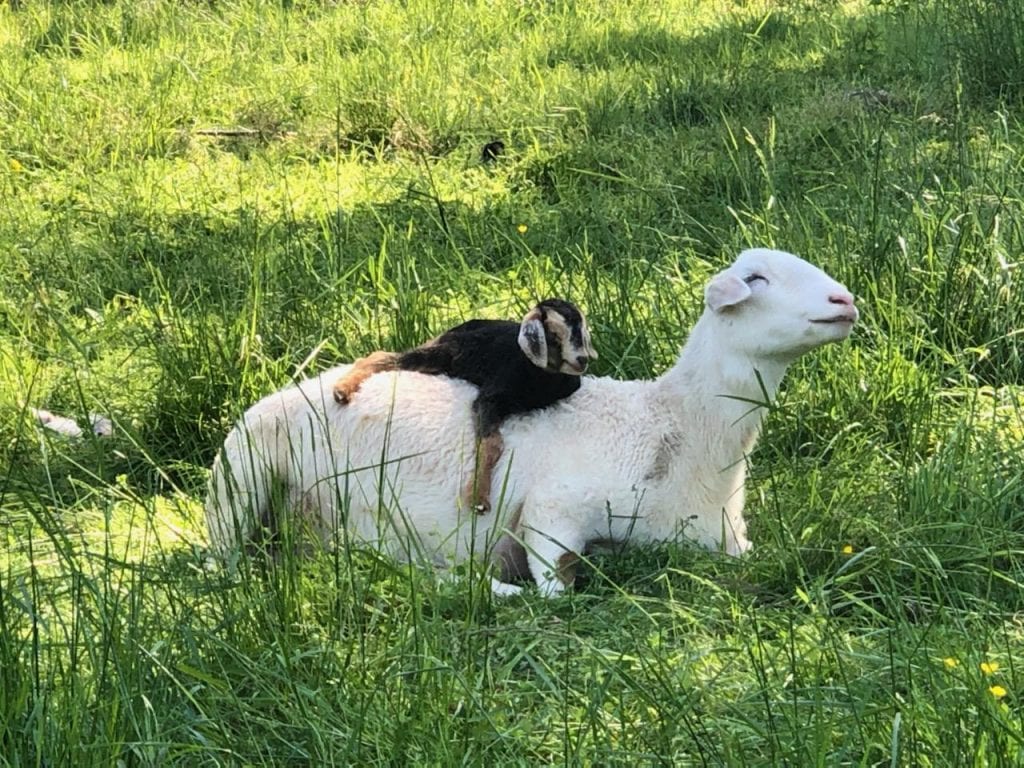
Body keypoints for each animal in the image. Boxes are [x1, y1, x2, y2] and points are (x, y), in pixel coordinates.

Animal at [205, 249, 856, 598]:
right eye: (757, 279)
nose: (846, 302)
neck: (676, 428)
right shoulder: (552, 511)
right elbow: (552, 593)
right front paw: (491, 585)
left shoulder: (733, 543)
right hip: (237, 486)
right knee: (225, 570)